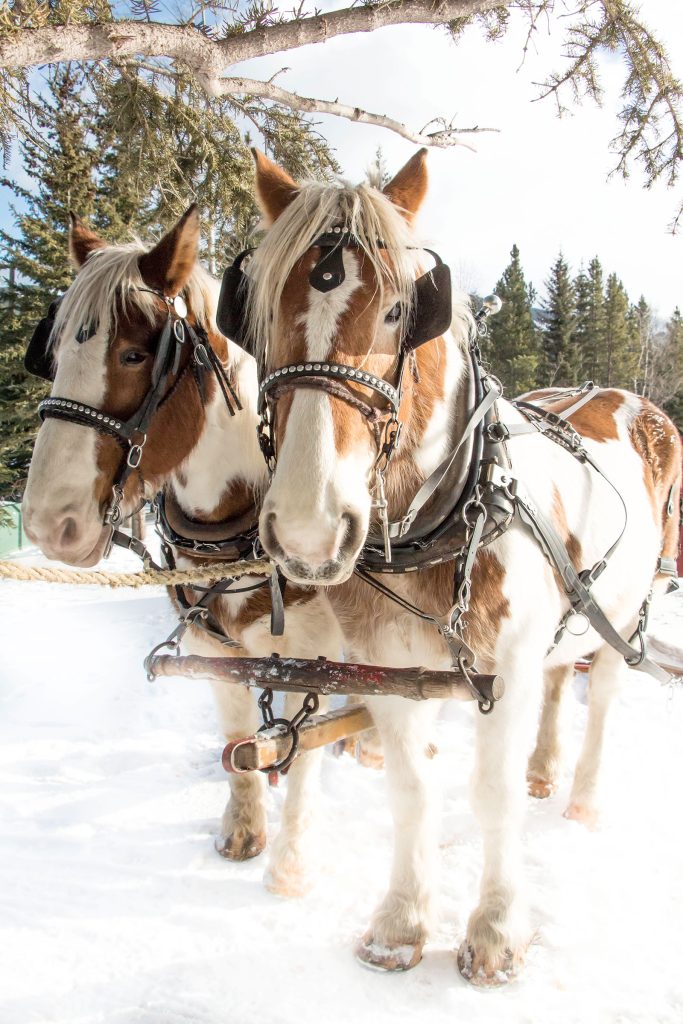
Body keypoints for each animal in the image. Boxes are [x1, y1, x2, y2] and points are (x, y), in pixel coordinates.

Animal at [21, 206, 345, 897]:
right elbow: (240, 738)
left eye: (134, 353)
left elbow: (308, 747)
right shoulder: (213, 651)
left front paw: (291, 864)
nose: (46, 523)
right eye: (53, 355)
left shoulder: (319, 657)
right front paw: (243, 832)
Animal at [225, 147, 681, 982]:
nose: (307, 528)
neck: (442, 518)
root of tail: (617, 395)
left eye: (400, 312)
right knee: (561, 685)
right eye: (262, 312)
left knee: (600, 696)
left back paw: (581, 799)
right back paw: (544, 769)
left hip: (624, 609)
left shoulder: (506, 666)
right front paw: (399, 925)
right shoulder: (386, 671)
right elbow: (410, 788)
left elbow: (491, 794)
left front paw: (497, 933)